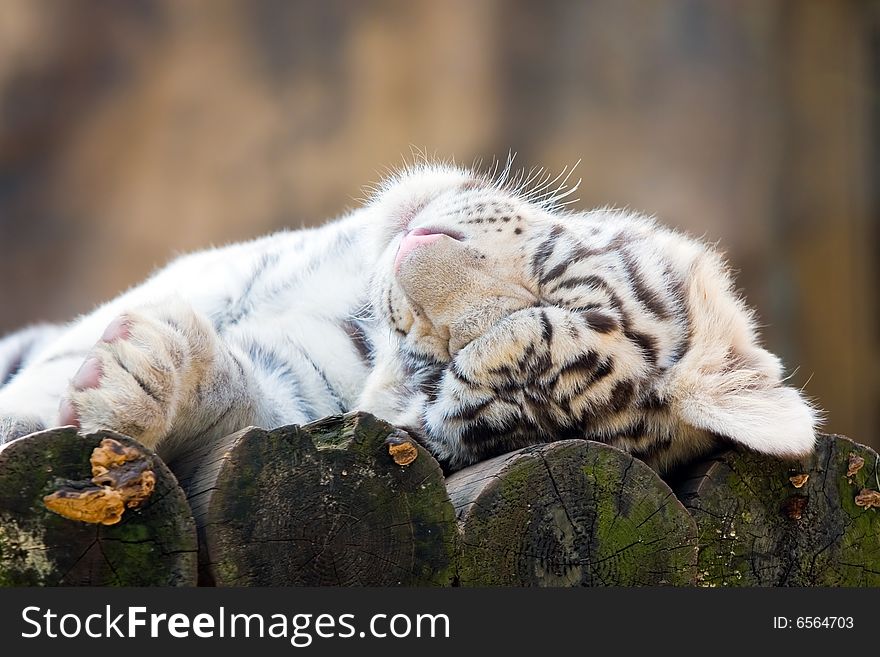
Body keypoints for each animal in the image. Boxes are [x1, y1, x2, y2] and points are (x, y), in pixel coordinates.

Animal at [0, 161, 820, 474]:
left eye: (442, 378)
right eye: (553, 284)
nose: (408, 255)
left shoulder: (295, 401)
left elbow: (247, 405)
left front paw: (133, 383)